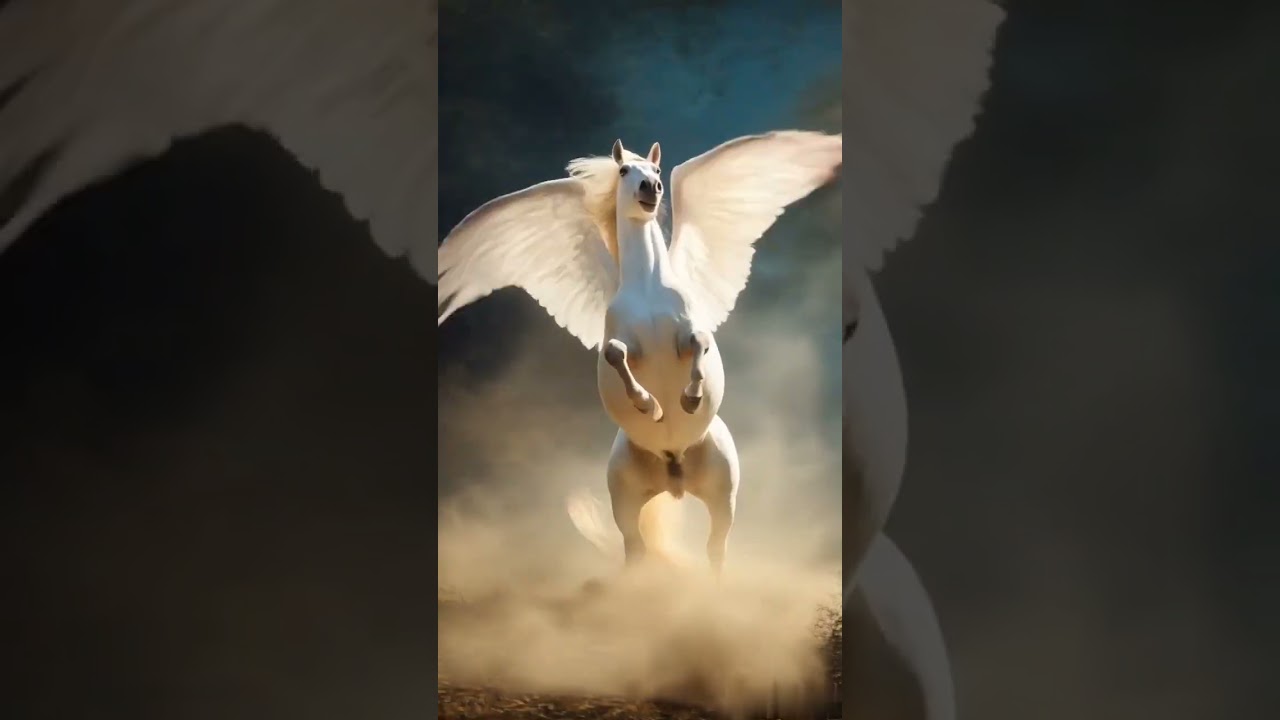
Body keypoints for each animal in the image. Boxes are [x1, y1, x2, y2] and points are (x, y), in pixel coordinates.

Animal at [437, 131, 842, 575]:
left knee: (715, 549)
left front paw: (689, 397)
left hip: (724, 496)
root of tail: (674, 472)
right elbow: (616, 354)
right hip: (626, 503)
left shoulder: (689, 330)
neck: (648, 284)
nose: (652, 188)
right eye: (624, 171)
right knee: (636, 551)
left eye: (658, 169)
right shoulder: (622, 342)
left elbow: (699, 342)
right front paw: (651, 405)